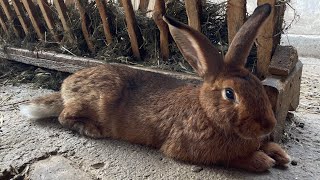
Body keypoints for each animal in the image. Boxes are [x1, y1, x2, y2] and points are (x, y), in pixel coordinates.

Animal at [20, 3, 290, 172]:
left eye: (258, 84)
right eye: (229, 93)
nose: (268, 126)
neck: (208, 113)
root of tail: (65, 89)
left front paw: (281, 155)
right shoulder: (192, 149)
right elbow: (235, 158)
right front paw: (263, 160)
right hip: (94, 100)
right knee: (64, 117)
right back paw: (91, 130)